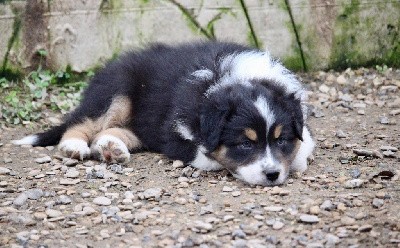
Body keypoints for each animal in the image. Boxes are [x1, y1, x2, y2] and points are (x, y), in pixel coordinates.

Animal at [14, 41, 316, 186]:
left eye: (280, 139)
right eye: (244, 144)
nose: (272, 175)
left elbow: (301, 149)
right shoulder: (173, 135)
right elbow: (208, 157)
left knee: (115, 131)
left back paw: (112, 148)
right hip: (116, 89)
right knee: (83, 122)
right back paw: (75, 146)